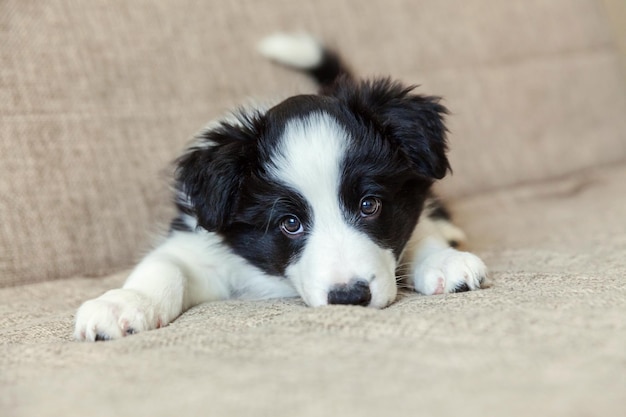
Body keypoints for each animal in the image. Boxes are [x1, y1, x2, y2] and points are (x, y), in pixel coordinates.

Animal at [74, 33, 488, 342]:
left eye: (369, 205)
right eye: (290, 223)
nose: (349, 297)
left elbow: (417, 231)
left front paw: (443, 260)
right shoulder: (200, 245)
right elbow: (164, 266)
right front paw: (123, 303)